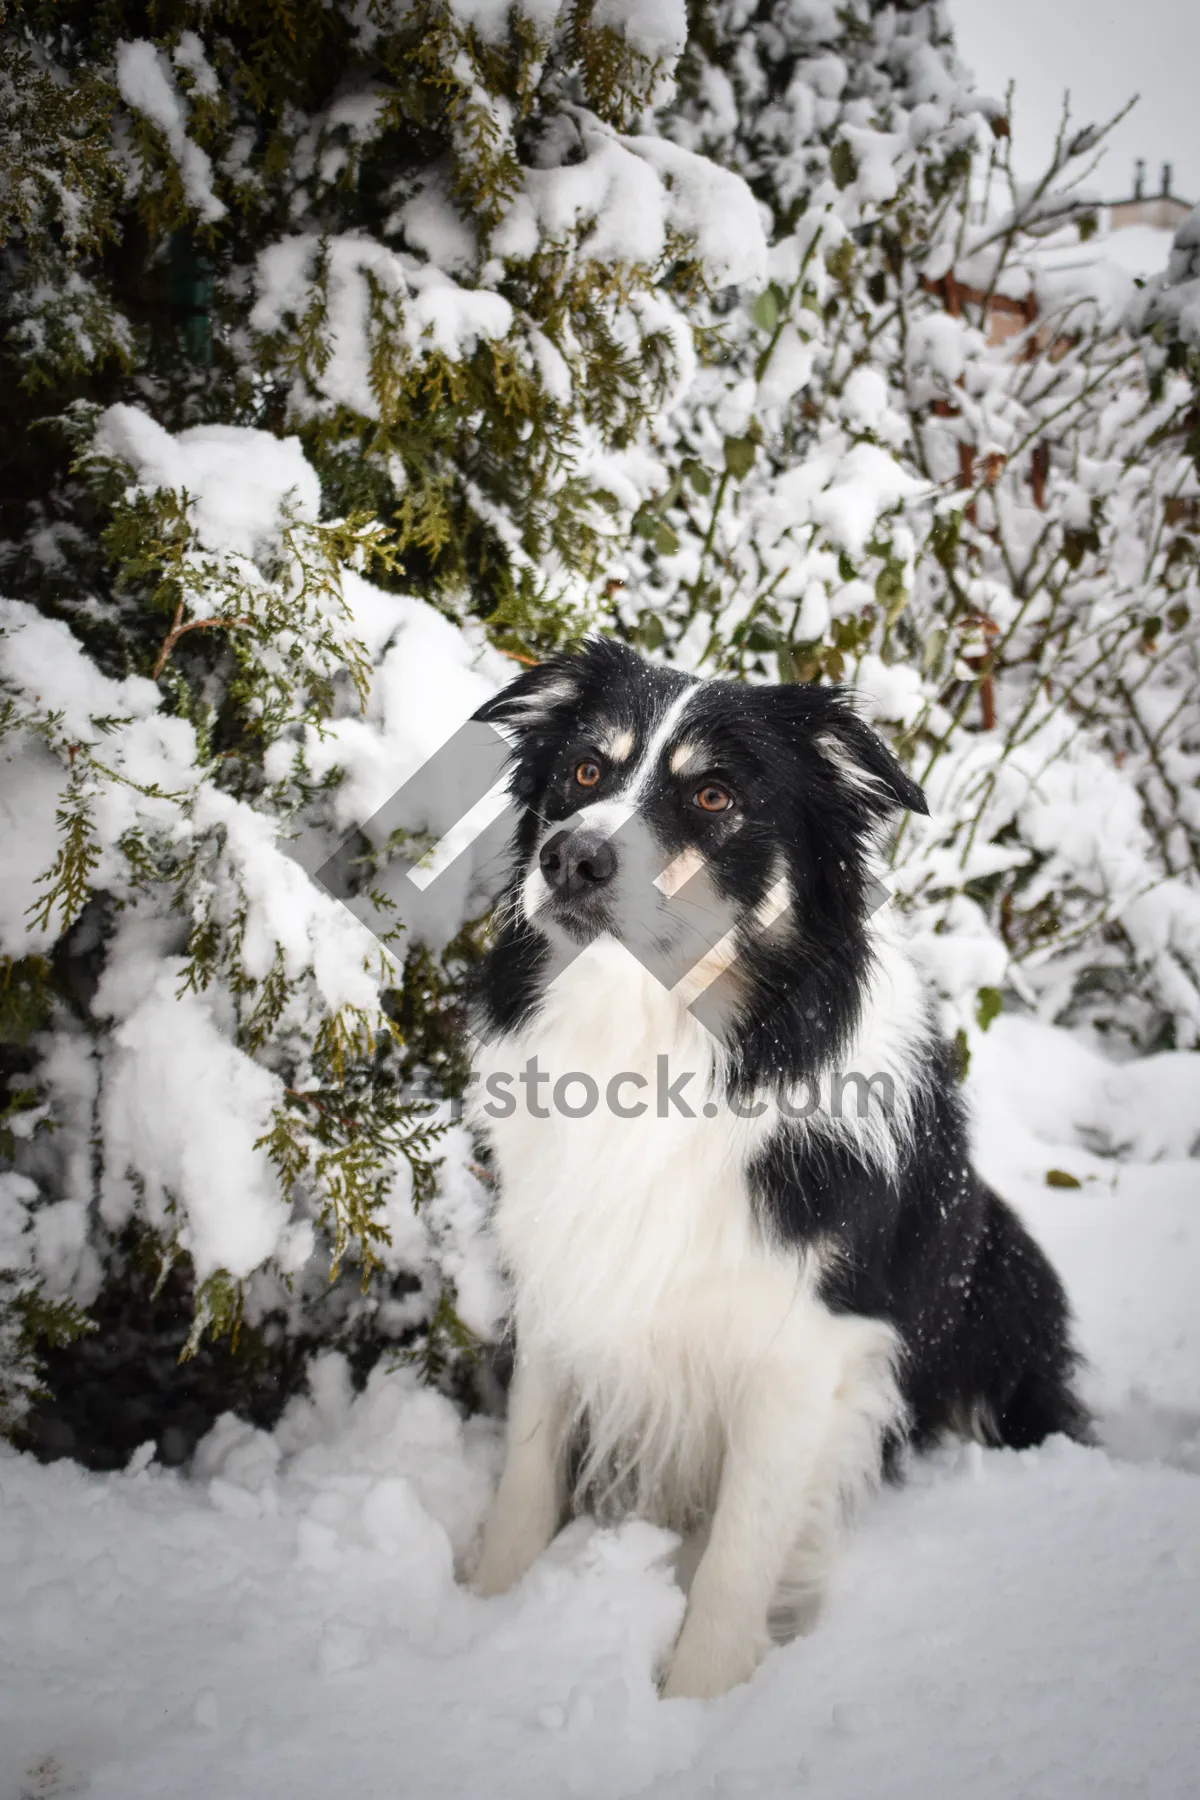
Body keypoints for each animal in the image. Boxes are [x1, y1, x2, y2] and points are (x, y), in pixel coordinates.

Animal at [467, 644, 1086, 1699]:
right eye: (585, 771)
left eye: (714, 795)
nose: (571, 859)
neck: (650, 1040)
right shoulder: (565, 1270)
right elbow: (528, 1468)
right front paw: (484, 1615)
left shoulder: (808, 1346)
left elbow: (741, 1551)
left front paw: (699, 1698)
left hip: (1010, 1277)